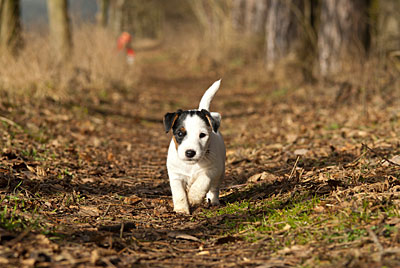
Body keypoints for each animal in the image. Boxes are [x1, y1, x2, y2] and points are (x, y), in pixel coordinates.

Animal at [162, 79, 225, 214]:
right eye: (180, 133)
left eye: (202, 135)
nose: (190, 153)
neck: (191, 165)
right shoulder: (176, 175)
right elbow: (179, 193)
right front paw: (181, 209)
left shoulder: (212, 169)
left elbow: (202, 182)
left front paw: (193, 197)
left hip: (220, 172)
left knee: (214, 187)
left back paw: (213, 200)